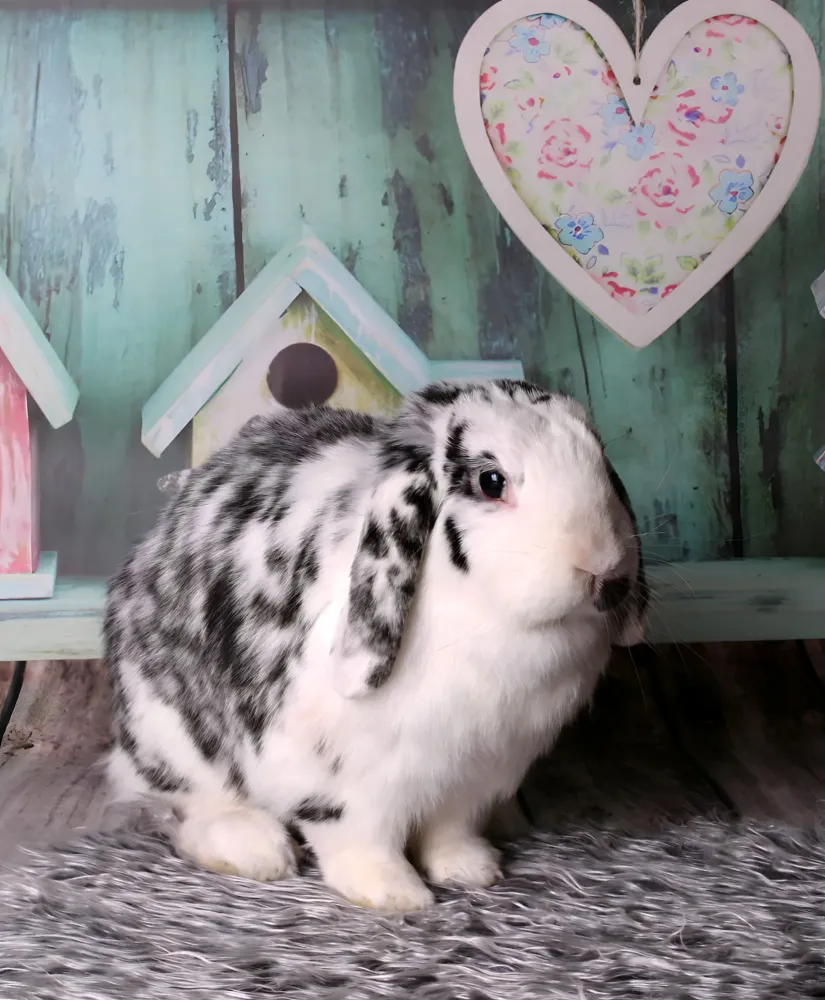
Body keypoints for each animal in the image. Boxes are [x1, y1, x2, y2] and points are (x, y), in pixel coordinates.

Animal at [104, 378, 648, 912]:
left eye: (602, 460)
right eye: (490, 481)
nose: (606, 575)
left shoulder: (474, 777)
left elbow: (451, 832)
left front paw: (472, 871)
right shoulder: (343, 783)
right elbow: (360, 840)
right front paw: (395, 895)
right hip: (174, 742)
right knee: (190, 809)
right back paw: (257, 850)